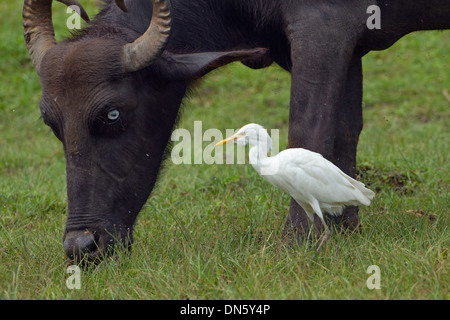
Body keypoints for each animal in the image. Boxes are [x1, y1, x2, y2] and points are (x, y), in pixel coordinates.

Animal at [24, 0, 450, 262]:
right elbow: (344, 133)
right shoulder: (345, 50)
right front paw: (343, 224)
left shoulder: (324, 29)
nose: (81, 246)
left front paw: (296, 241)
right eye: (52, 123)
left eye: (112, 114)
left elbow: (309, 128)